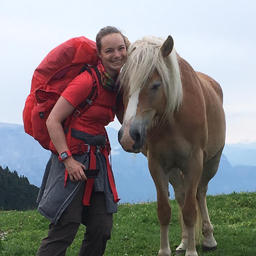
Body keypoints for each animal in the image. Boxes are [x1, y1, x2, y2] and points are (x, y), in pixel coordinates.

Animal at [117, 35, 225, 256]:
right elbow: (165, 210)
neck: (173, 119)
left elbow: (191, 211)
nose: (128, 137)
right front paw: (165, 250)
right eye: (123, 86)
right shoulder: (157, 165)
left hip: (211, 163)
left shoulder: (194, 163)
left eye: (156, 85)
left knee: (200, 193)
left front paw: (192, 252)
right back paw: (184, 242)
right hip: (175, 169)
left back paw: (208, 239)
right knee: (182, 196)